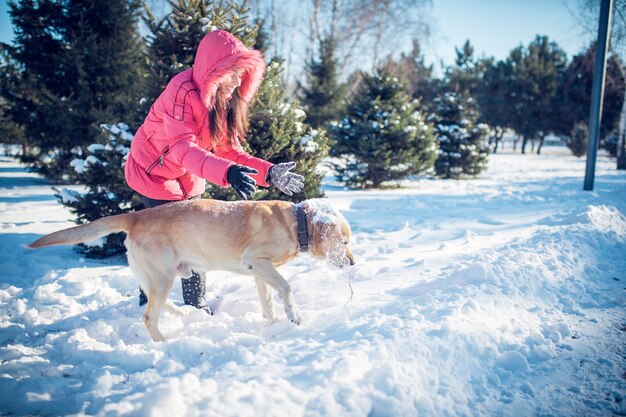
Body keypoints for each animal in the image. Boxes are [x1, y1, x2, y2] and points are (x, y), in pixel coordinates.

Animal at [28, 198, 356, 342]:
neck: (295, 222)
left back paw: (184, 314)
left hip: (160, 275)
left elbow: (268, 301)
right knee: (148, 316)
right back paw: (163, 344)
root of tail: (136, 216)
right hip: (163, 276)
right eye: (345, 242)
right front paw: (295, 316)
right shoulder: (257, 261)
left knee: (153, 303)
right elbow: (286, 288)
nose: (353, 262)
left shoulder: (258, 272)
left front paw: (274, 322)